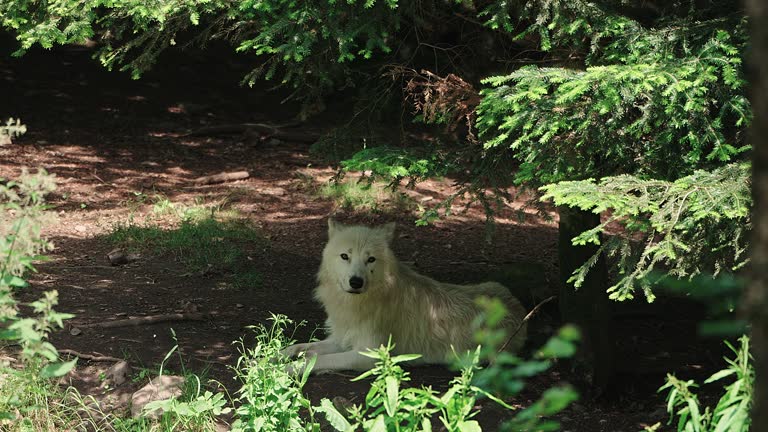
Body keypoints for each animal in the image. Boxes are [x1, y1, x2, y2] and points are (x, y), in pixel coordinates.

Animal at [281, 219, 527, 373]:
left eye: (370, 259)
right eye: (344, 256)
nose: (356, 282)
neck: (357, 304)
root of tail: (519, 307)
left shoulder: (367, 355)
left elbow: (317, 360)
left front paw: (287, 370)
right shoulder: (340, 339)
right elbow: (299, 347)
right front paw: (273, 357)